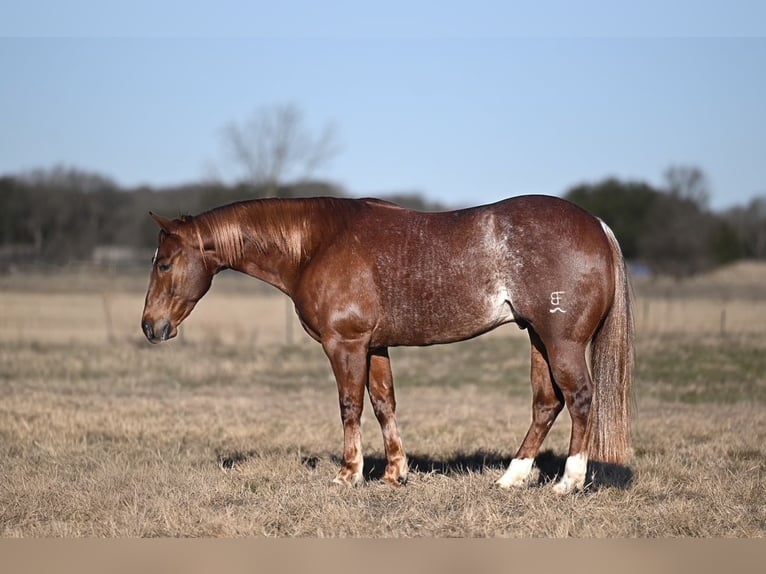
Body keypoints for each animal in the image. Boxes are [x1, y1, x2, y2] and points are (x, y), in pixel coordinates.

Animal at [141, 194, 634, 494]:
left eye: (164, 264)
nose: (150, 326)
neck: (318, 243)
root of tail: (597, 225)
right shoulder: (375, 347)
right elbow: (383, 404)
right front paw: (396, 473)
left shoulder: (345, 345)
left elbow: (350, 406)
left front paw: (349, 474)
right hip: (537, 338)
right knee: (547, 403)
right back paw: (511, 478)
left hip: (561, 341)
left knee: (579, 398)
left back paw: (568, 482)